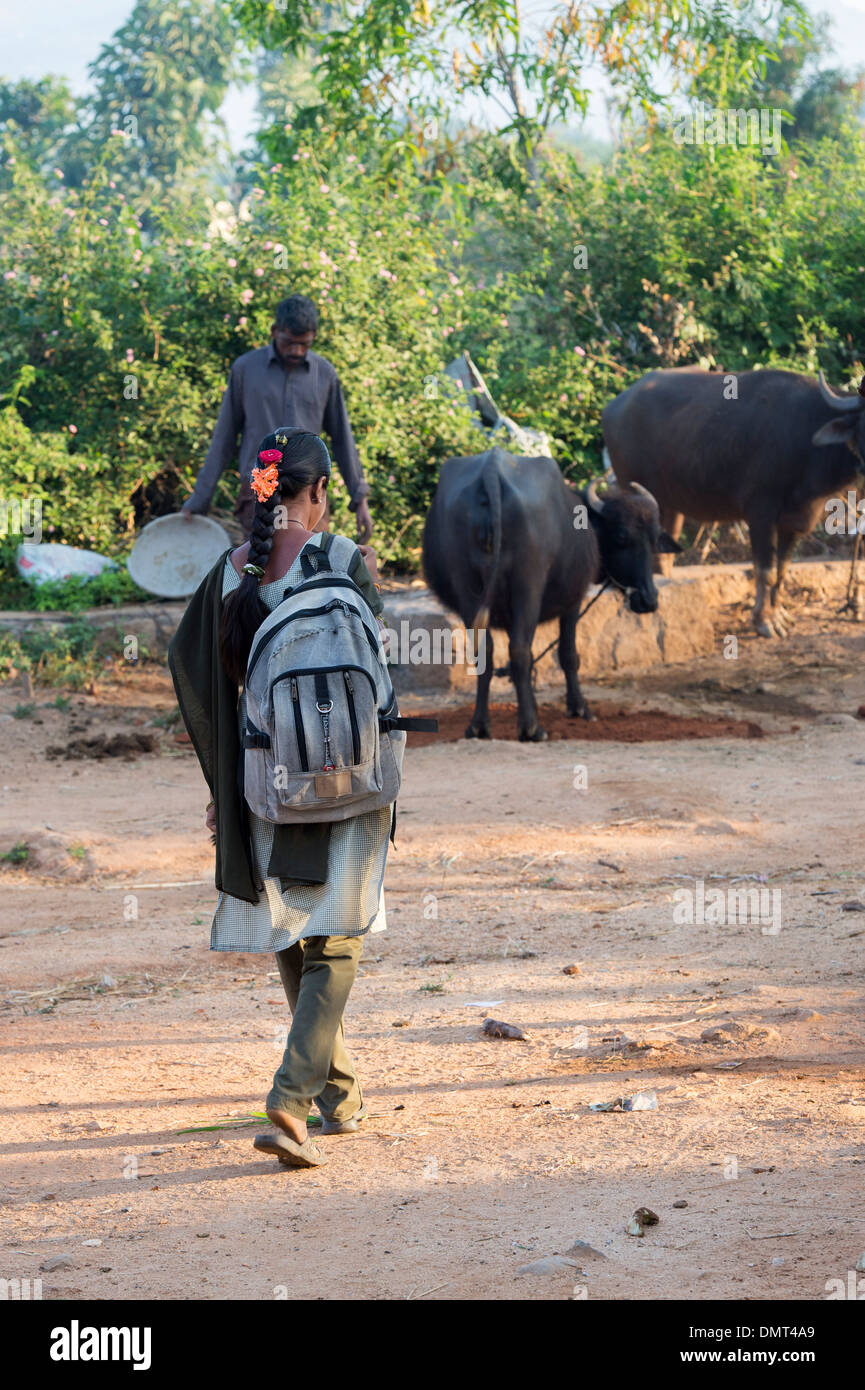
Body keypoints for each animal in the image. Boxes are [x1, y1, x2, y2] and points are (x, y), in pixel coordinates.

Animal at [422, 450, 681, 745]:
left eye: (653, 540)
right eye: (621, 537)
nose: (648, 599)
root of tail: (491, 470)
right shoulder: (573, 600)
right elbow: (568, 654)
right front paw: (579, 708)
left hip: (468, 590)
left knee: (485, 653)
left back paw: (479, 726)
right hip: (528, 584)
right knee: (519, 650)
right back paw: (531, 728)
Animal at [603, 364, 865, 636]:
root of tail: (614, 406)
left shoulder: (796, 521)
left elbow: (782, 570)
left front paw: (779, 613)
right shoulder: (760, 513)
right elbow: (766, 571)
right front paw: (765, 621)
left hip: (668, 503)